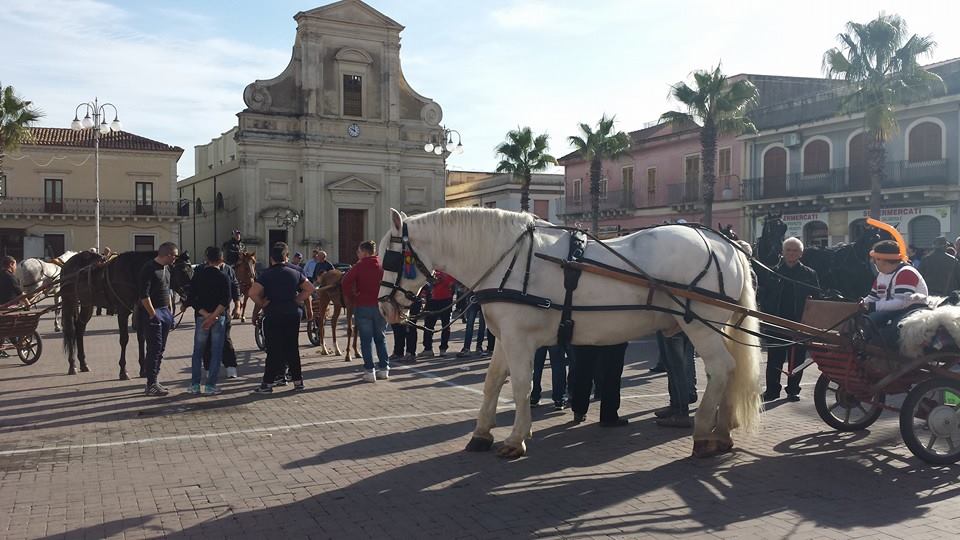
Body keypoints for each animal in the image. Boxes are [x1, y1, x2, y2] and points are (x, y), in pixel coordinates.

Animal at [60, 251, 193, 378]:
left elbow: (141, 338)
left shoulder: (141, 311)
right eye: (182, 271)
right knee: (71, 330)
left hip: (87, 304)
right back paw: (72, 365)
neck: (134, 272)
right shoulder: (122, 312)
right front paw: (123, 370)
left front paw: (143, 369)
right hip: (69, 301)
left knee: (80, 328)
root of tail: (67, 264)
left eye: (192, 271)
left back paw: (83, 363)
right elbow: (124, 339)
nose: (189, 297)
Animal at [378, 209, 760, 458]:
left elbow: (520, 386)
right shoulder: (505, 337)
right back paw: (723, 431)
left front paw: (516, 438)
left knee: (721, 368)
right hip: (718, 326)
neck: (510, 260)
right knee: (730, 369)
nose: (385, 308)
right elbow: (493, 382)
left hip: (700, 325)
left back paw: (704, 433)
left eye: (391, 258)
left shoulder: (519, 339)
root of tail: (726, 245)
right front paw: (481, 433)